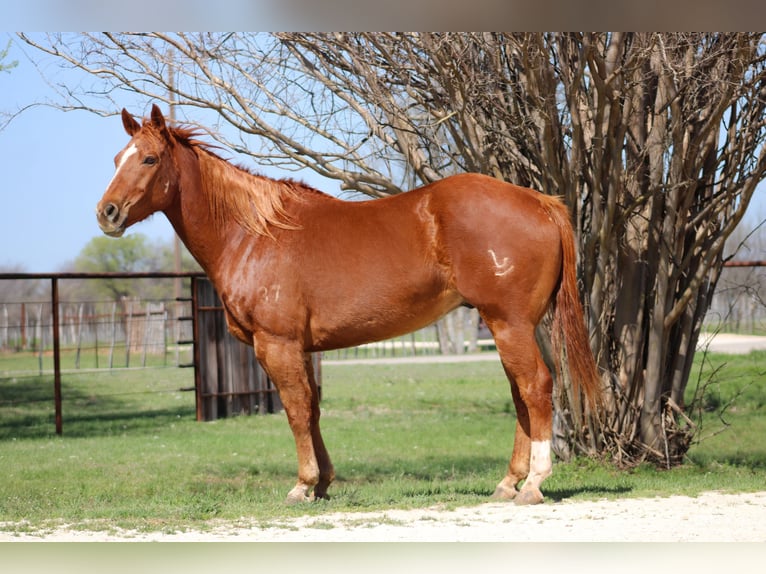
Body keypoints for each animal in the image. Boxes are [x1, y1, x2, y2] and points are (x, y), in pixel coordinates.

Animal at [96, 104, 604, 508]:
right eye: (116, 159)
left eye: (149, 158)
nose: (107, 213)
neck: (255, 234)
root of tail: (540, 202)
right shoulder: (302, 349)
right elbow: (313, 410)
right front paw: (323, 483)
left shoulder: (277, 345)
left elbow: (295, 410)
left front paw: (302, 486)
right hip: (510, 325)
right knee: (521, 392)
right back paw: (507, 483)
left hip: (509, 323)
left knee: (536, 387)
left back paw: (534, 483)